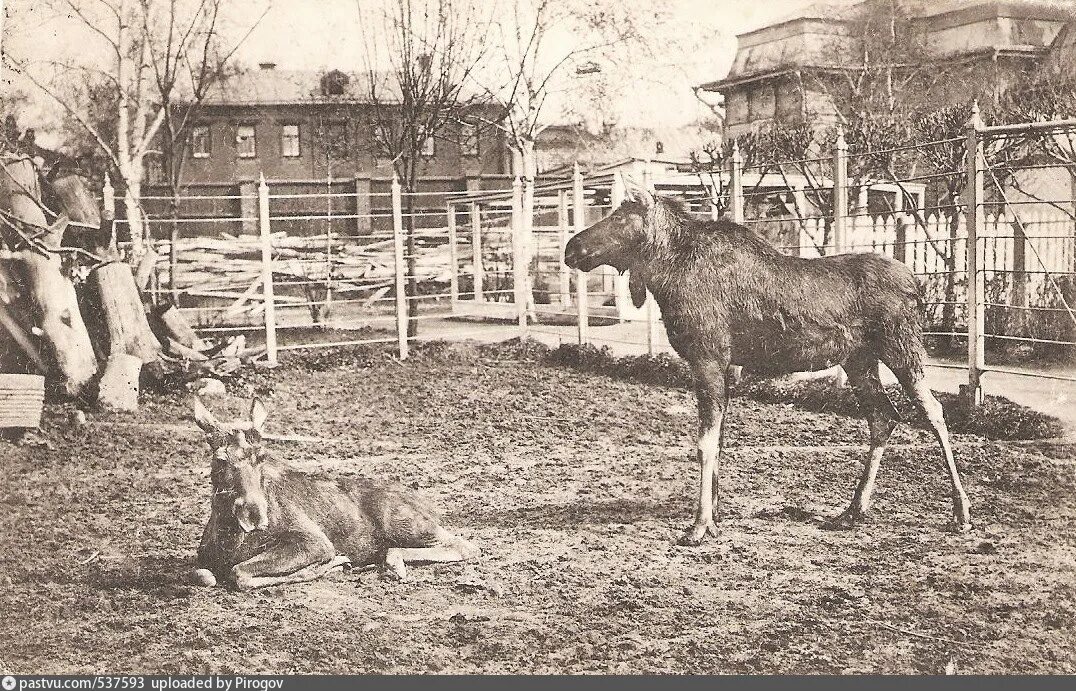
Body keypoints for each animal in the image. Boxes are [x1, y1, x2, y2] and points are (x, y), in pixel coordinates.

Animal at [191, 398, 482, 585]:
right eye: (220, 459)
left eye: (262, 457)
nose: (254, 515)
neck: (229, 540)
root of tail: (431, 508)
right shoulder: (203, 558)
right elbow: (204, 575)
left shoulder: (315, 541)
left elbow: (239, 573)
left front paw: (333, 565)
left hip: (409, 526)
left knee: (465, 545)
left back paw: (392, 563)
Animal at [568, 177, 972, 542]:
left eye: (621, 216)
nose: (572, 247)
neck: (666, 275)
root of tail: (917, 285)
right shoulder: (725, 365)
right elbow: (719, 440)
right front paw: (715, 514)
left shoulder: (707, 357)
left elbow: (704, 444)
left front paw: (699, 525)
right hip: (859, 360)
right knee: (884, 417)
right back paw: (853, 510)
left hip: (901, 347)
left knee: (933, 412)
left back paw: (961, 510)